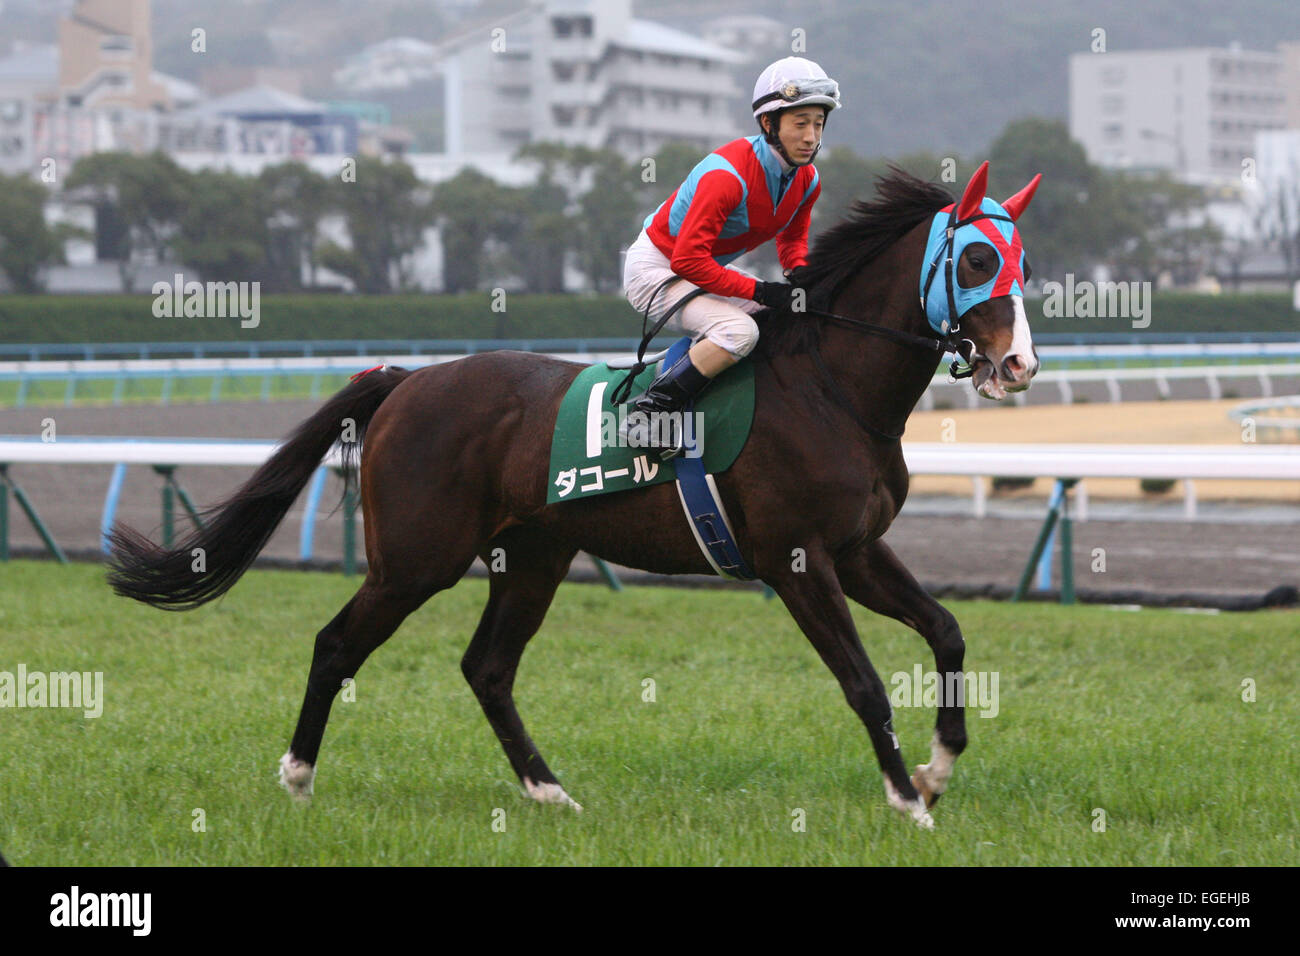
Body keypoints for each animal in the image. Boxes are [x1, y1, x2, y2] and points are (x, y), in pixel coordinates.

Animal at [106, 161, 1042, 829]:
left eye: (1024, 261)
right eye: (976, 258)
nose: (1019, 365)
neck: (831, 388)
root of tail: (406, 383)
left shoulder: (856, 549)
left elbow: (946, 631)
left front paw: (937, 768)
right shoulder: (798, 559)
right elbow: (863, 682)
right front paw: (909, 802)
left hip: (534, 555)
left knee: (487, 668)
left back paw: (549, 791)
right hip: (415, 558)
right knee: (338, 645)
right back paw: (298, 777)